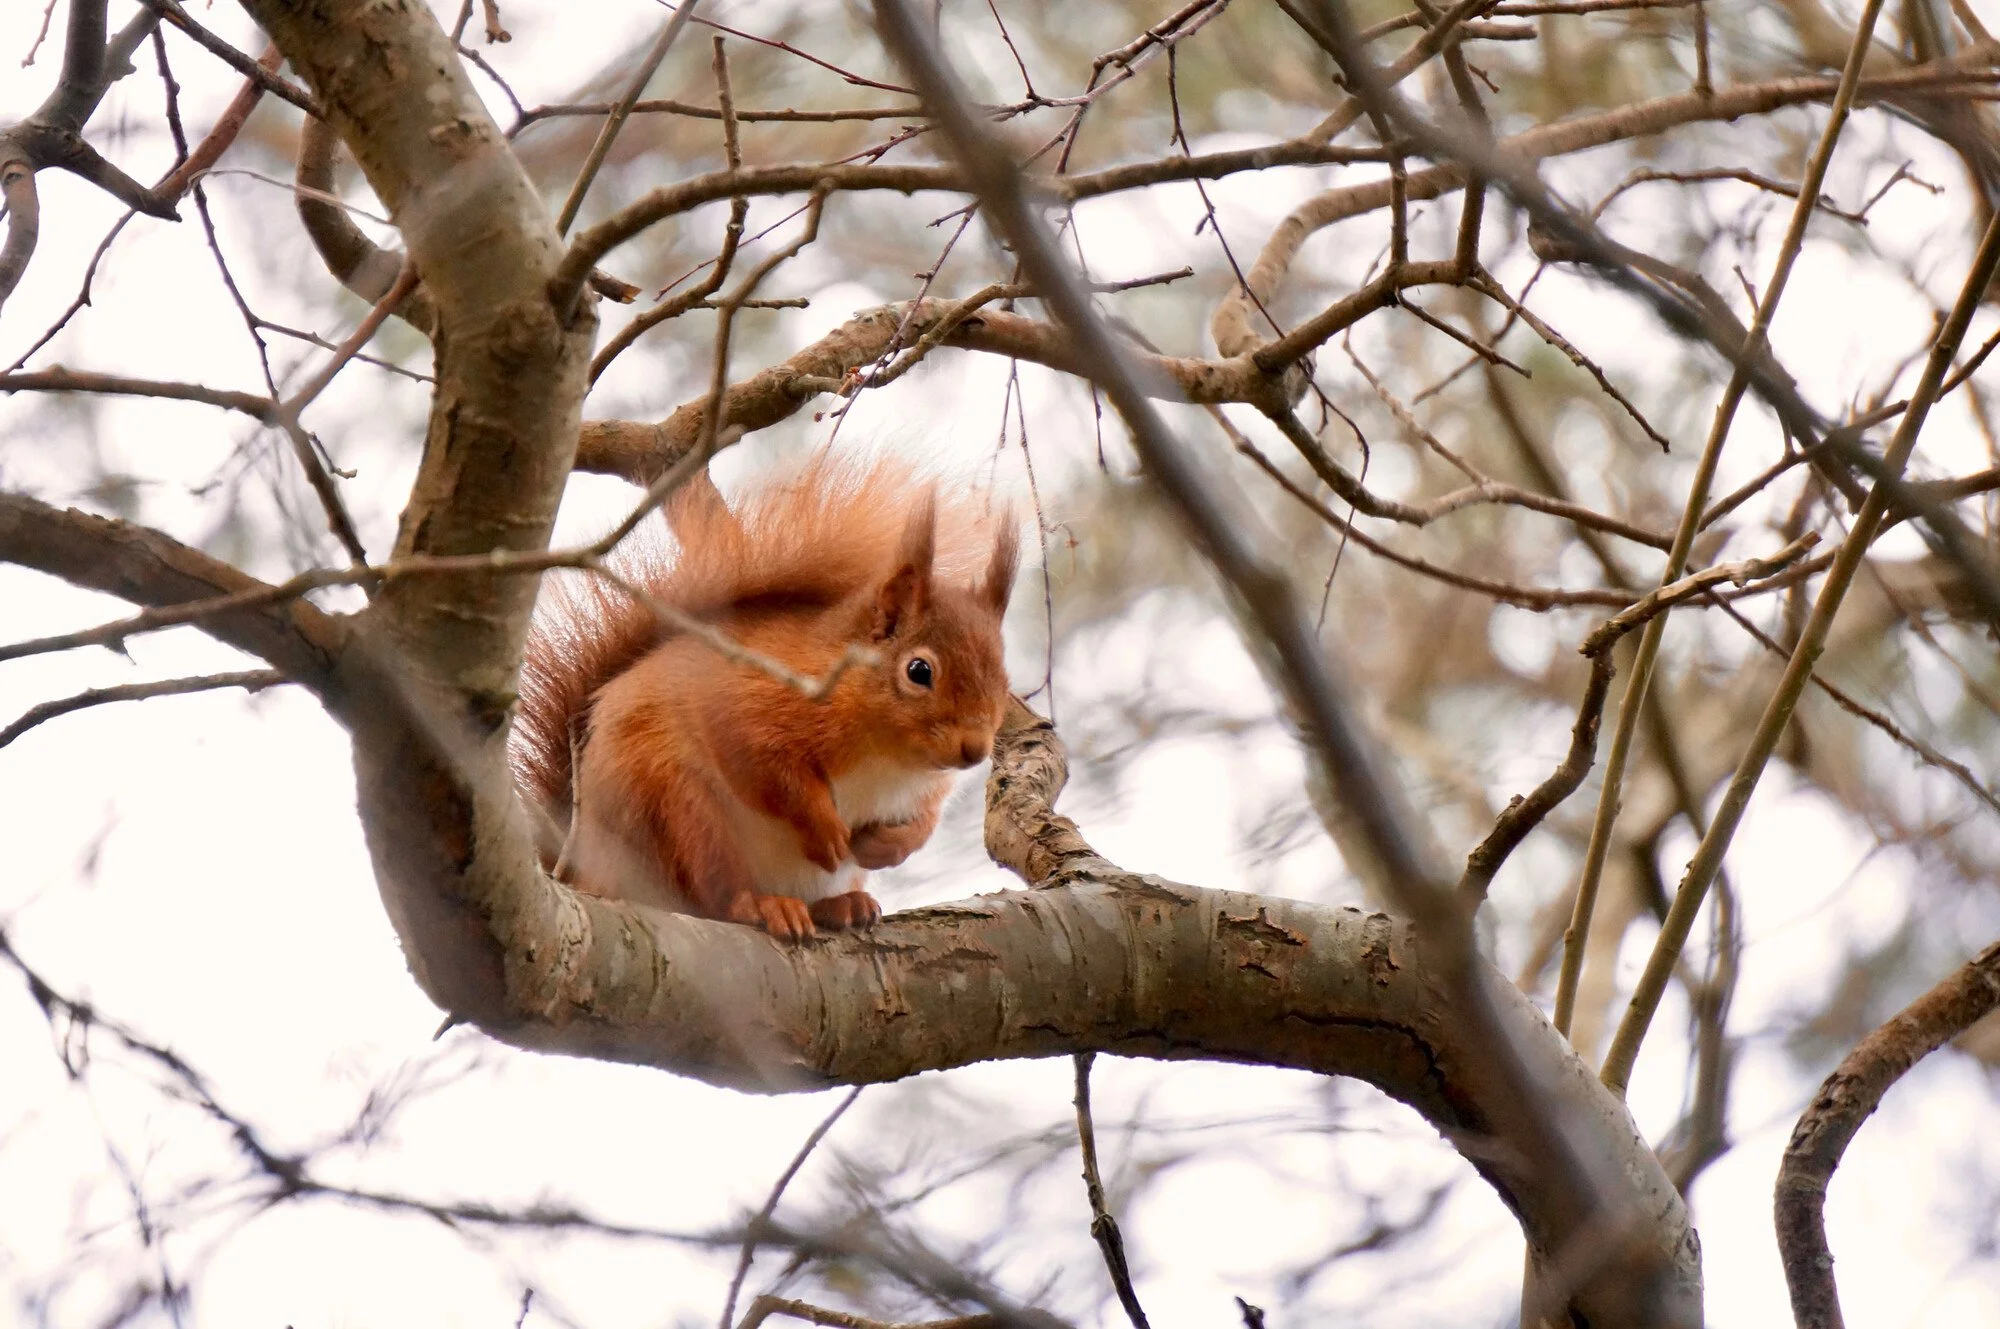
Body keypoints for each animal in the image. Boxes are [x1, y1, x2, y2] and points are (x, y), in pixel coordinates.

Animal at [510, 454, 1018, 940]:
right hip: (678, 811)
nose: (975, 751)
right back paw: (763, 905)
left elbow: (925, 822)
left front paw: (888, 846)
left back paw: (842, 905)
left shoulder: (926, 789)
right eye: (919, 671)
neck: (887, 757)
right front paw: (826, 831)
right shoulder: (745, 703)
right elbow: (768, 769)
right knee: (718, 893)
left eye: (1003, 671)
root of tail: (582, 871)